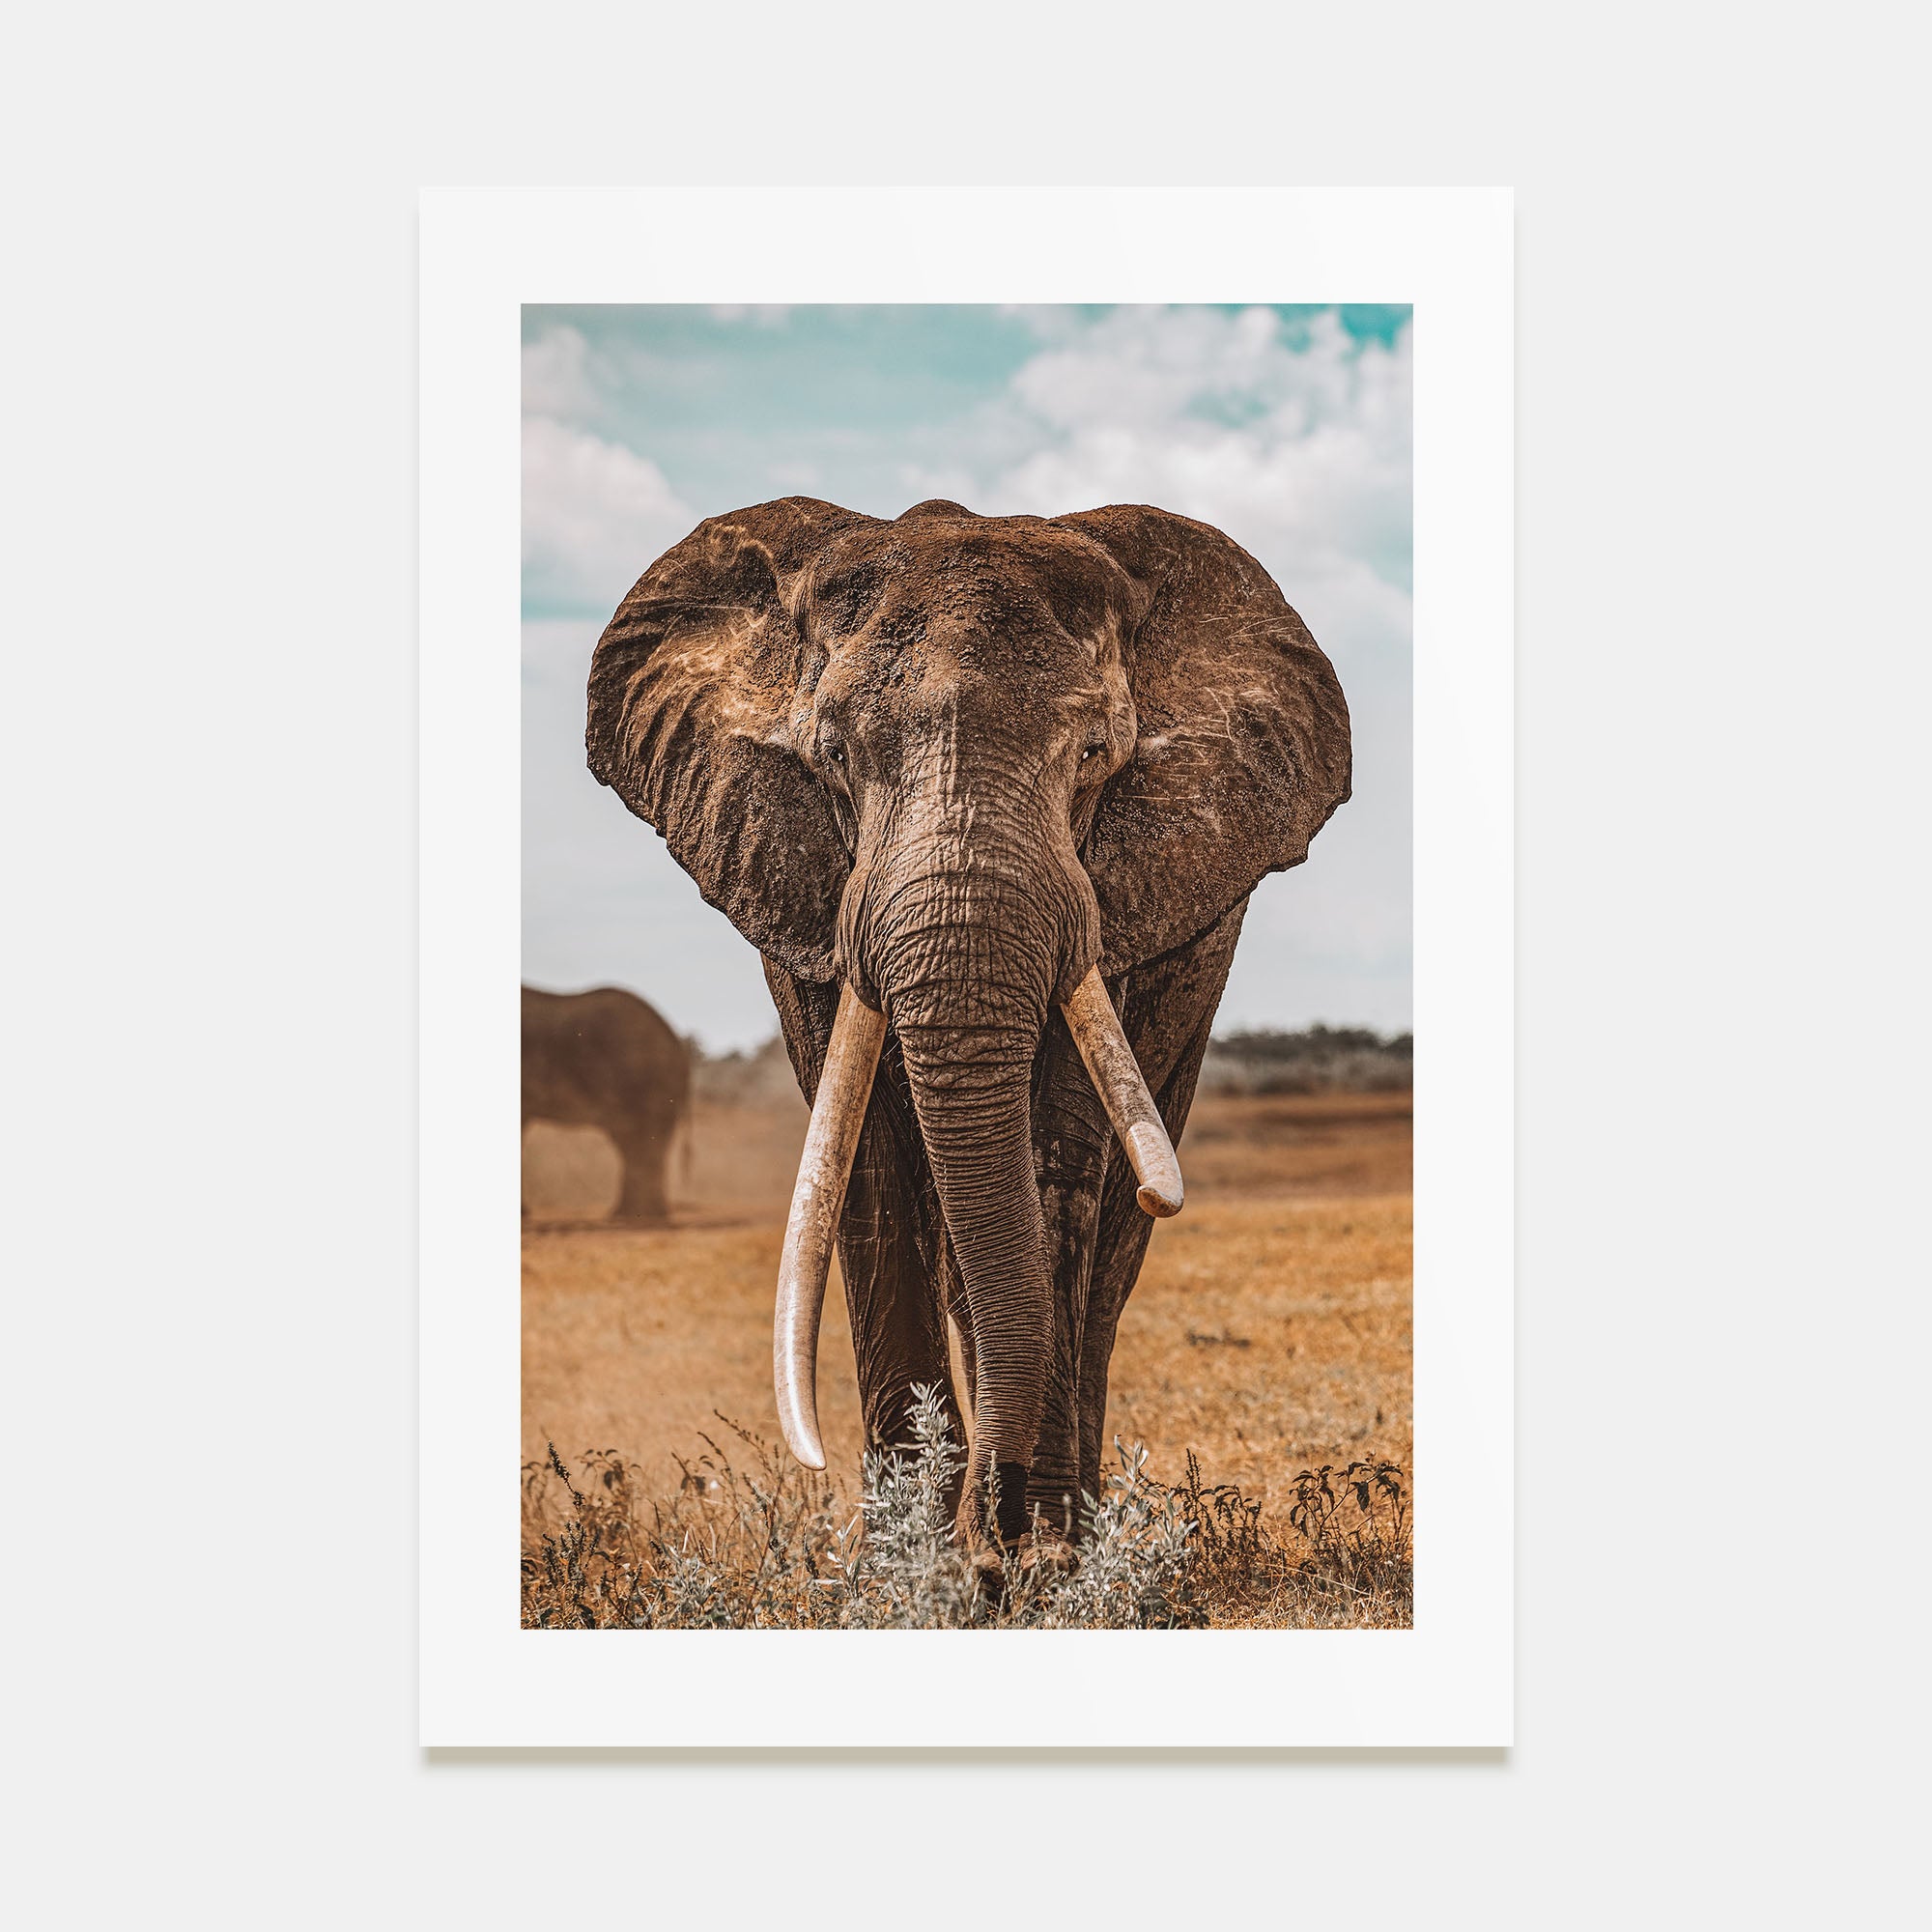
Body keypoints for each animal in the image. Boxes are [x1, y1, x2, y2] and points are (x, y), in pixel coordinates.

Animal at [585, 496, 1350, 1548]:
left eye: (1093, 756)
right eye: (832, 756)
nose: (995, 1524)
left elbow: (1054, 1162)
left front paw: (1032, 1557)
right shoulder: (802, 889)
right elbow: (863, 1166)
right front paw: (909, 1560)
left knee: (1106, 1255)